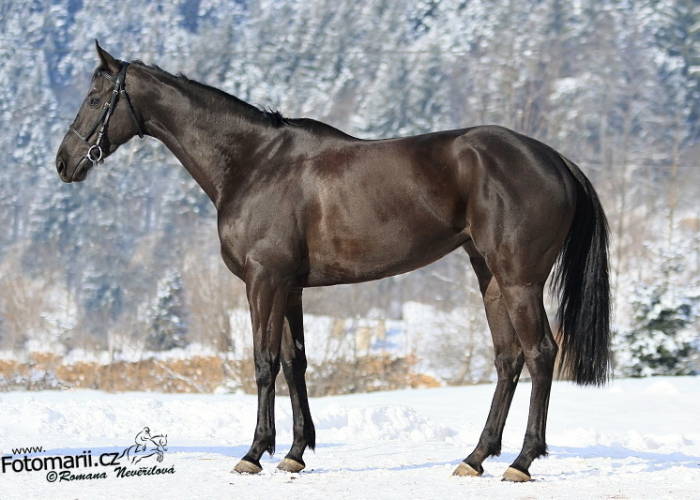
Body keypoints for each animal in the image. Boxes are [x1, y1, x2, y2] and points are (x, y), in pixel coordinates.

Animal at [55, 41, 611, 482]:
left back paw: (522, 462)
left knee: (540, 353)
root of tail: (555, 160)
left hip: (519, 281)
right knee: (508, 359)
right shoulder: (289, 287)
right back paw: (475, 458)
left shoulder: (264, 281)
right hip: (489, 277)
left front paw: (254, 453)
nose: (64, 163)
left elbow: (264, 362)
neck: (254, 163)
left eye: (95, 99)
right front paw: (295, 453)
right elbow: (295, 362)